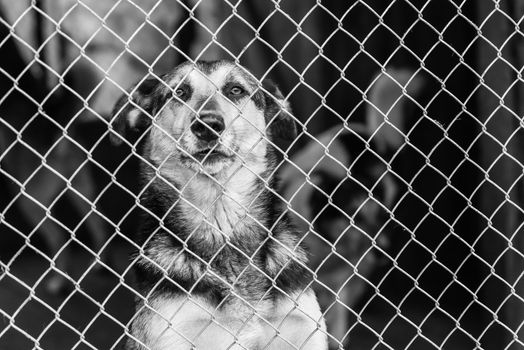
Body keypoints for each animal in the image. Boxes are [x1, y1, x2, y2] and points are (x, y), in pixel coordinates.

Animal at [110, 58, 328, 348]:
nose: (208, 125)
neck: (220, 218)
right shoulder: (173, 333)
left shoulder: (303, 328)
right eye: (179, 92)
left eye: (235, 90)